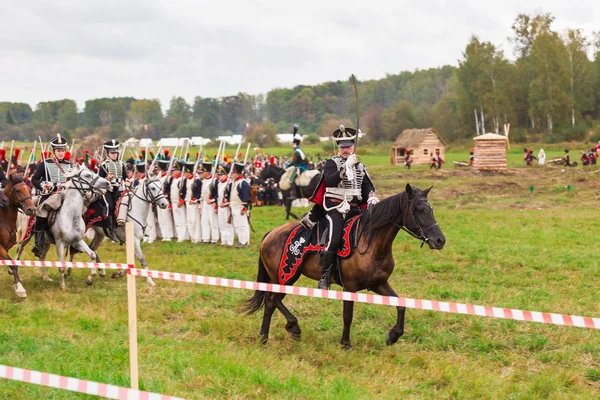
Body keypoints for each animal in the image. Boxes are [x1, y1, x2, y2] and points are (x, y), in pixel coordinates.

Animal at [244, 183, 446, 348]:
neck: (370, 243)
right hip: (285, 276)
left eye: (431, 209)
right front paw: (346, 343)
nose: (440, 240)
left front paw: (393, 336)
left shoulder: (379, 284)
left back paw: (266, 336)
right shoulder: (350, 287)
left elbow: (401, 304)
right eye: (419, 210)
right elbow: (348, 315)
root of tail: (271, 234)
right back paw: (289, 328)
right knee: (272, 300)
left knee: (271, 302)